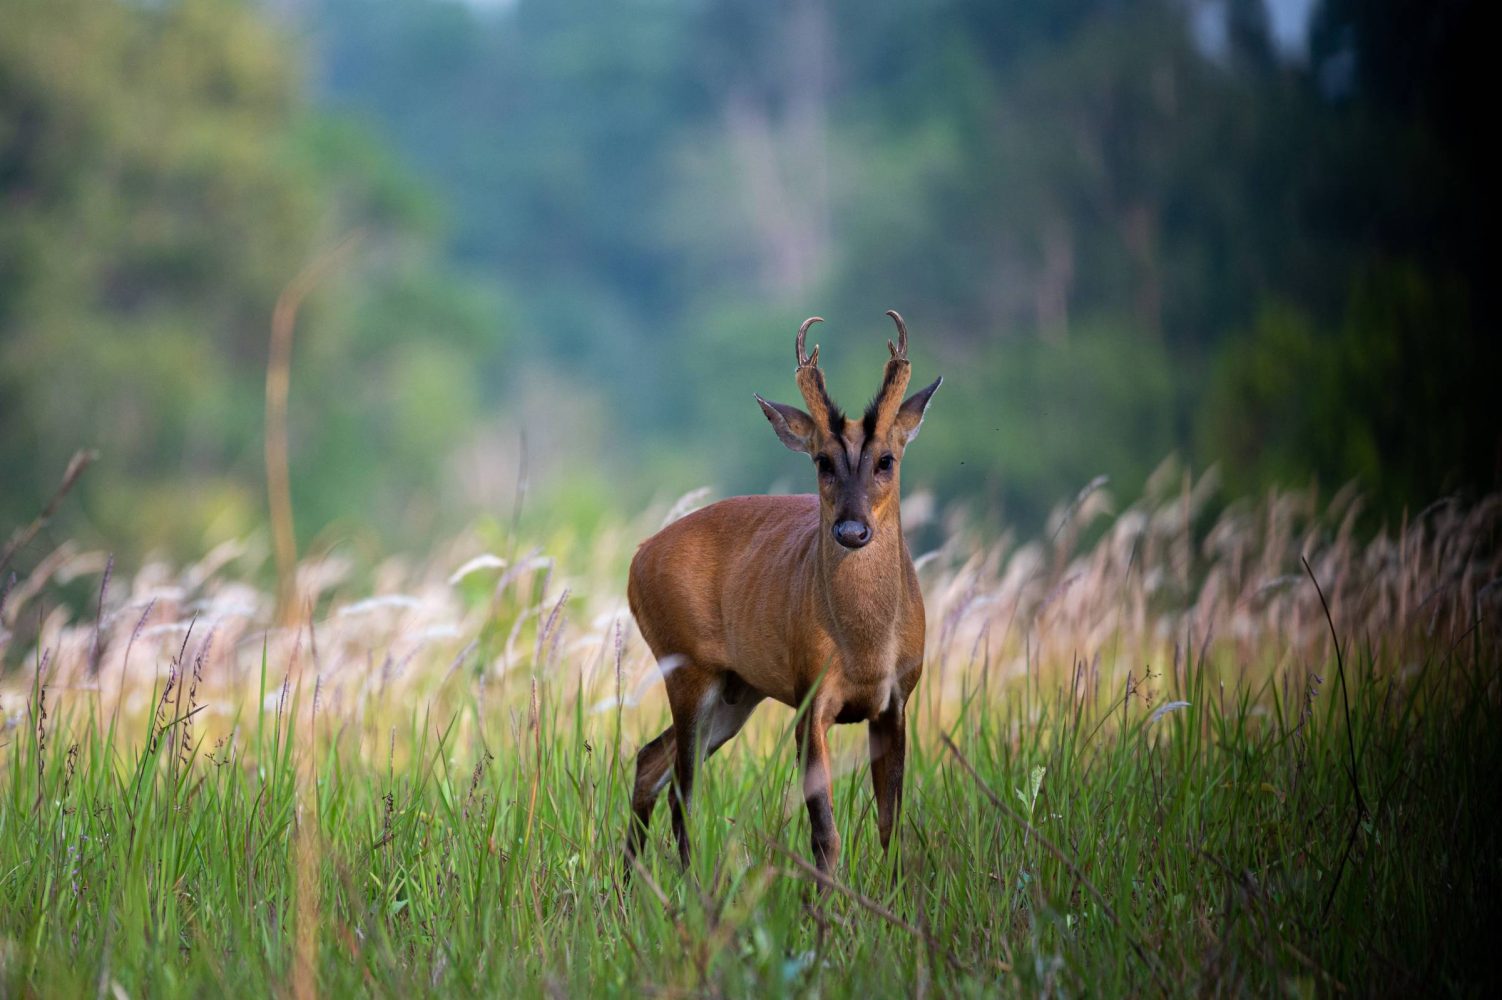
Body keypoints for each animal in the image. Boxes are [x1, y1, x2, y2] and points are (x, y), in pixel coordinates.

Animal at [627, 309, 943, 870]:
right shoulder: (810, 698)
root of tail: (636, 559)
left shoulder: (897, 700)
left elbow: (890, 826)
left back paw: (628, 881)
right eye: (822, 461)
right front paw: (828, 894)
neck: (864, 647)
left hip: (736, 690)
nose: (852, 530)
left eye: (886, 459)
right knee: (683, 795)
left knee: (649, 763)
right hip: (686, 668)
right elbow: (825, 832)